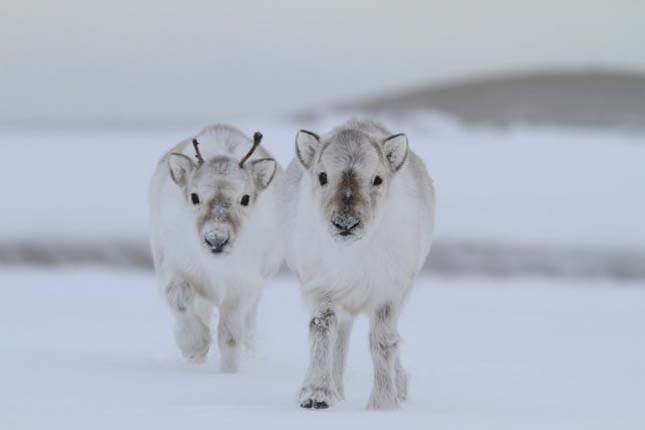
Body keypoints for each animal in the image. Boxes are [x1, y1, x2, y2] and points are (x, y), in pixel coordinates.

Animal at [151, 125, 284, 372]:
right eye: (194, 196)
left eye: (245, 198)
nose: (216, 240)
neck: (215, 266)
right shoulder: (174, 268)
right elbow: (180, 300)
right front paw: (195, 346)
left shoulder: (242, 286)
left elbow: (230, 336)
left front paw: (229, 372)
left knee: (249, 326)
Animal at [280, 119, 436, 408]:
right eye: (322, 176)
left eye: (377, 179)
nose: (345, 223)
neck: (352, 254)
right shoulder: (323, 289)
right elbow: (322, 331)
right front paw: (316, 395)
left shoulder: (389, 294)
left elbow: (383, 341)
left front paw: (383, 403)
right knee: (340, 339)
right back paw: (336, 392)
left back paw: (400, 386)